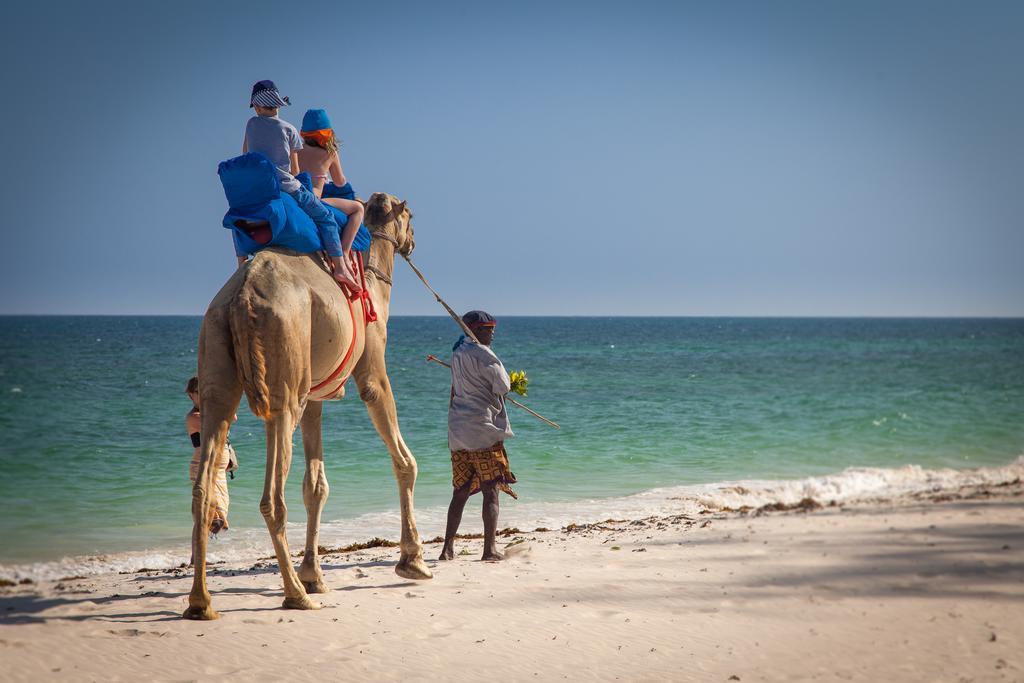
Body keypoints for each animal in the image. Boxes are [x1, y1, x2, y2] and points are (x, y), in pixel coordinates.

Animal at [186, 191, 430, 618]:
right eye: (411, 216)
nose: (414, 242)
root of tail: (242, 296)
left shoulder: (316, 395)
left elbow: (316, 485)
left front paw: (315, 575)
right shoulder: (372, 368)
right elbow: (404, 460)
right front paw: (413, 560)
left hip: (216, 356)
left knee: (204, 486)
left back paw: (201, 602)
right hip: (283, 372)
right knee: (272, 497)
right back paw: (295, 594)